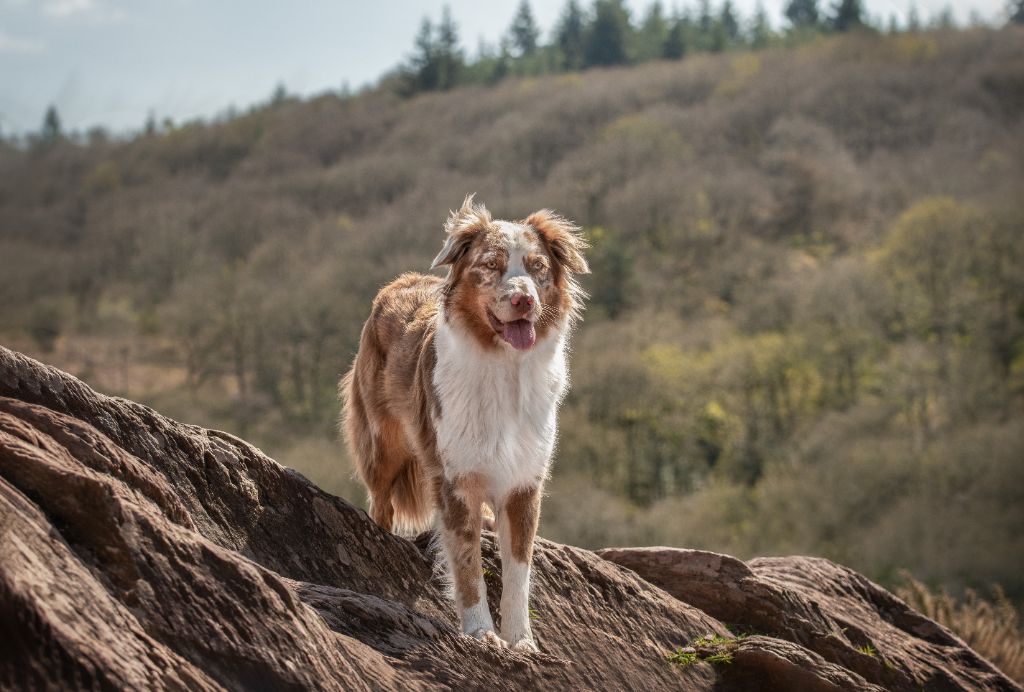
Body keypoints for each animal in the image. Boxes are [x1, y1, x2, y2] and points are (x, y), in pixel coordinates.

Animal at [339, 194, 589, 646]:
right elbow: (468, 564)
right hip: (383, 446)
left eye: (537, 267)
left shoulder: (524, 483)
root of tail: (398, 283)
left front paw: (521, 640)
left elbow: (519, 573)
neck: (506, 370)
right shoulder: (456, 479)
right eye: (490, 264)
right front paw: (481, 633)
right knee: (380, 502)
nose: (524, 300)